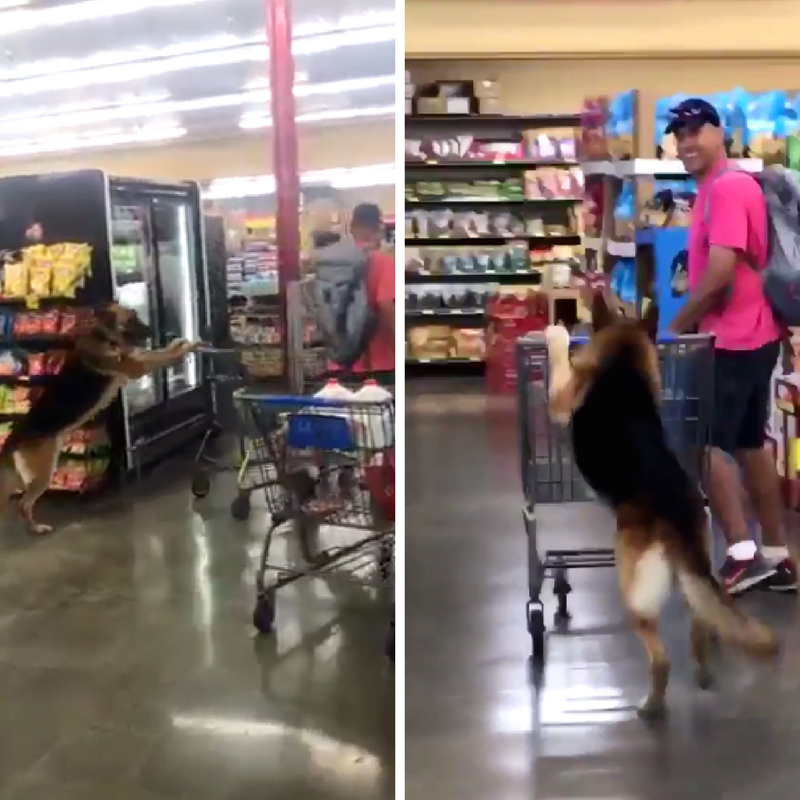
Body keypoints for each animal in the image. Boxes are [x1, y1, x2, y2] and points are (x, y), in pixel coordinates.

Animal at [0, 304, 197, 536]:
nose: (154, 331)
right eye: (132, 319)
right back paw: (36, 528)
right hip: (43, 473)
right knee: (24, 504)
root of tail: (12, 438)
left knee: (21, 503)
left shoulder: (134, 358)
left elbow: (158, 353)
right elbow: (159, 357)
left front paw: (180, 344)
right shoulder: (134, 367)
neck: (104, 336)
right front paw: (185, 348)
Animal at [548, 290, 780, 716]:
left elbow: (560, 364)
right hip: (695, 572)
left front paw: (555, 333)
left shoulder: (561, 400)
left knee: (661, 658)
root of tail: (675, 512)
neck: (622, 363)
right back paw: (704, 673)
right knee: (703, 623)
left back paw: (651, 705)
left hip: (635, 585)